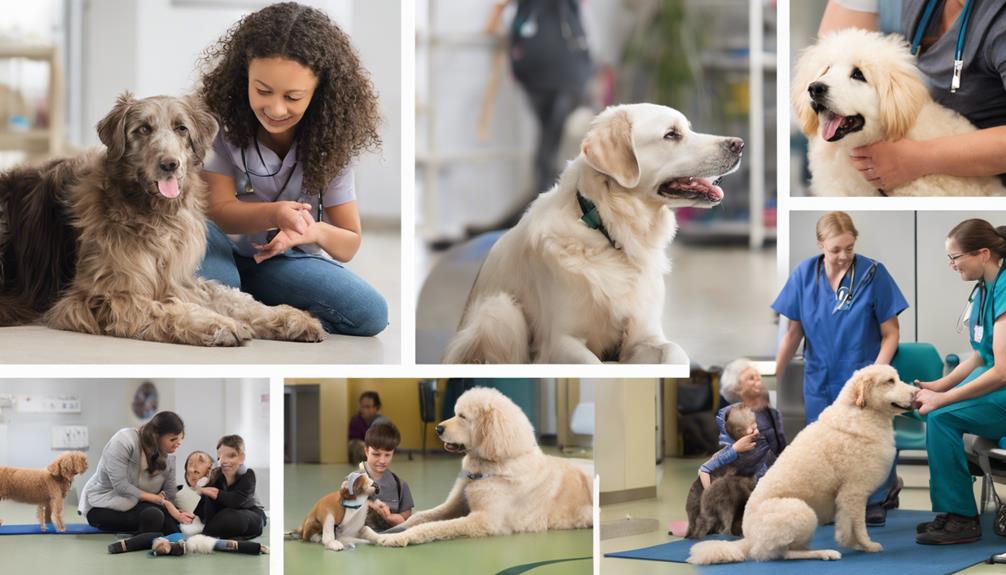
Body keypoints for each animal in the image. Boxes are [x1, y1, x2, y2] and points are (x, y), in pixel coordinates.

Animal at [366, 388, 591, 546]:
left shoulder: (484, 520)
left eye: (463, 417)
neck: (489, 467)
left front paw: (397, 537)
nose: (438, 428)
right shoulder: (454, 504)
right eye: (456, 413)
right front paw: (390, 528)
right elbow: (420, 516)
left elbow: (434, 526)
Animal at [444, 103, 744, 363]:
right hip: (499, 310)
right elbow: (592, 364)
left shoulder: (643, 336)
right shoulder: (560, 341)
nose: (739, 144)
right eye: (671, 134)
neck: (610, 233)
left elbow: (675, 352)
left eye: (688, 129)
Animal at [688, 365, 917, 562]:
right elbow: (860, 526)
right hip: (802, 510)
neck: (861, 414)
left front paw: (852, 544)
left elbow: (845, 527)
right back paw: (825, 553)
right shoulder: (855, 492)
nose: (916, 393)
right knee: (782, 554)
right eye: (890, 381)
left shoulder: (845, 497)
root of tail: (749, 539)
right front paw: (868, 545)